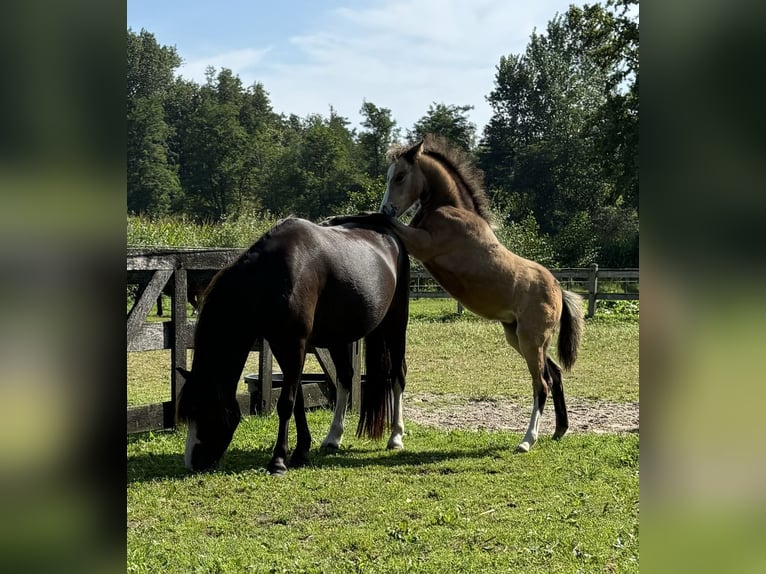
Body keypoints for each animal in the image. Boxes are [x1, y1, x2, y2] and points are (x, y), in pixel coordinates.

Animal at [176, 217, 412, 476]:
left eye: (205, 410)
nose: (192, 462)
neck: (270, 277)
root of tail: (389, 235)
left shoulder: (294, 345)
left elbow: (286, 403)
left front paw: (278, 461)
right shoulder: (283, 346)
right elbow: (298, 401)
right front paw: (301, 452)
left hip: (396, 323)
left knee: (398, 375)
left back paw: (396, 437)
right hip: (339, 338)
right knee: (345, 378)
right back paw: (333, 437)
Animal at [328, 135, 584, 454]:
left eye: (400, 176)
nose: (389, 207)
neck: (452, 209)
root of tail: (559, 290)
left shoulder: (422, 242)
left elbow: (377, 220)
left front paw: (335, 217)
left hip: (531, 340)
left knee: (542, 385)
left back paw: (527, 441)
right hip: (519, 338)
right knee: (555, 374)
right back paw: (560, 430)